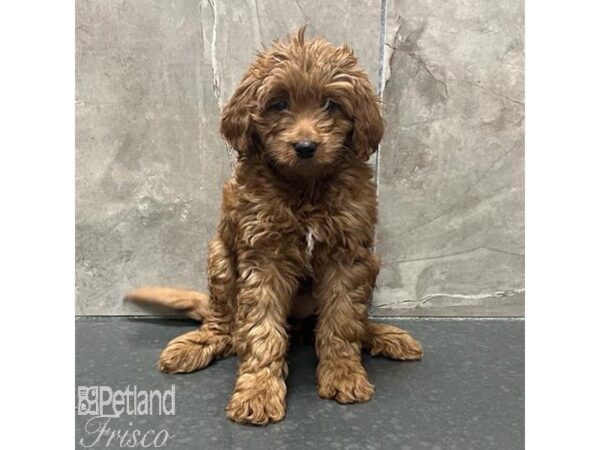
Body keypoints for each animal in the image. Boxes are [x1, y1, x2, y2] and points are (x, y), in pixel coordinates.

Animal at [127, 28, 422, 426]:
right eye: (279, 104)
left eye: (331, 104)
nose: (306, 146)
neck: (304, 185)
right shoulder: (263, 255)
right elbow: (262, 328)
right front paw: (258, 391)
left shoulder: (346, 254)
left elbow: (342, 320)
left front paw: (344, 373)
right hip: (220, 258)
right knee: (224, 320)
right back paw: (203, 342)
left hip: (370, 263)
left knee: (355, 321)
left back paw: (382, 335)